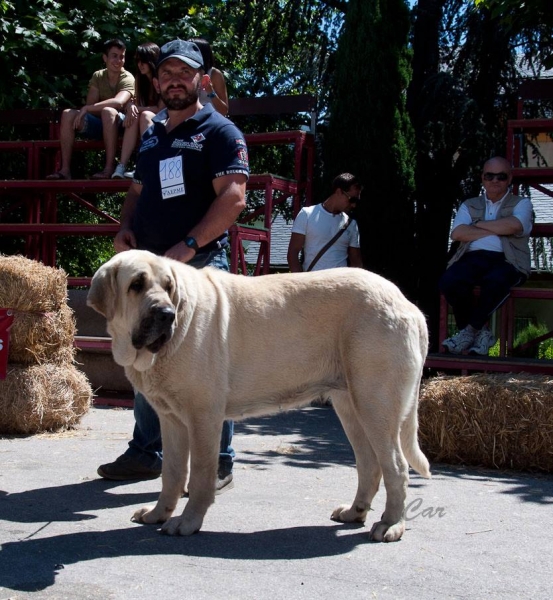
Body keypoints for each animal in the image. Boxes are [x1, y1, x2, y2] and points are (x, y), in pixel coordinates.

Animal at [87, 250, 432, 544]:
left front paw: (187, 522)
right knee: (370, 464)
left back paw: (391, 524)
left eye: (169, 288)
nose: (166, 314)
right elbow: (171, 473)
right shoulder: (171, 420)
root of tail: (407, 304)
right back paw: (354, 511)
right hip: (350, 406)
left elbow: (199, 475)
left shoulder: (203, 418)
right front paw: (159, 514)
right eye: (136, 285)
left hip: (375, 404)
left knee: (397, 467)